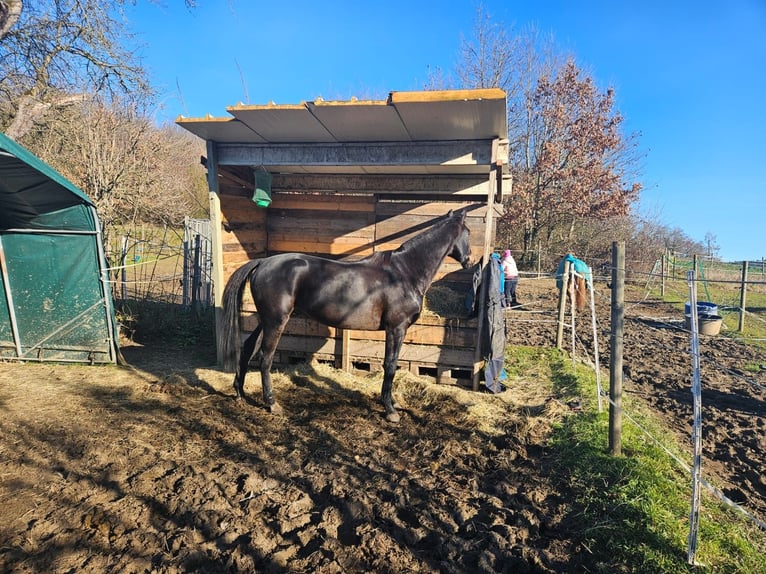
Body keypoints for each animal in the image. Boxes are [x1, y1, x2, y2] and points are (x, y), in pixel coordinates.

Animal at [220, 210, 474, 424]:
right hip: (276, 321)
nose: (469, 260)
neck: (403, 272)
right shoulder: (396, 328)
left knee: (248, 348)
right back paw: (272, 404)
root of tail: (263, 262)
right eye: (469, 233)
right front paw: (390, 410)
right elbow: (390, 365)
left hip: (266, 320)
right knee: (265, 357)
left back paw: (240, 393)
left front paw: (392, 403)